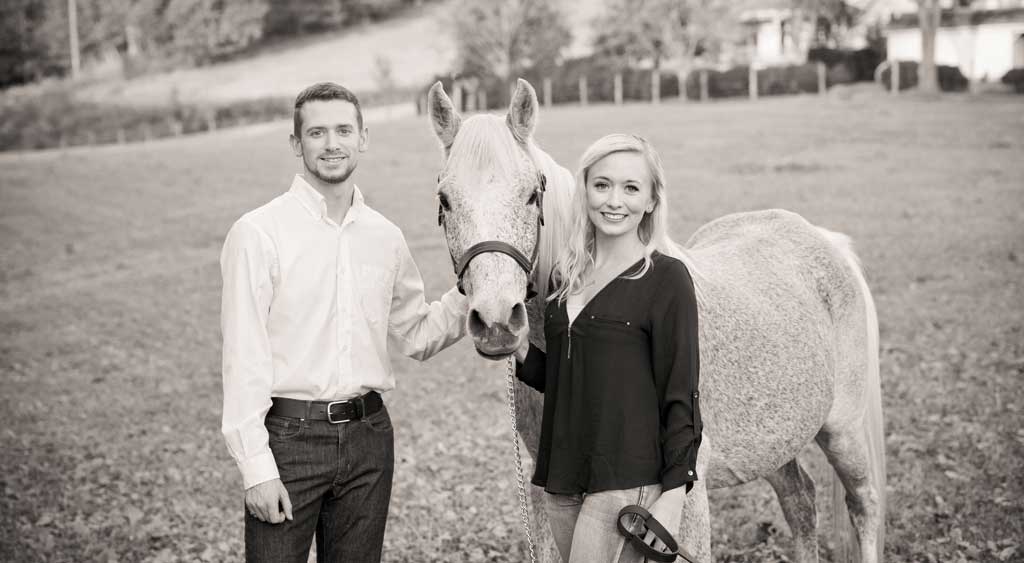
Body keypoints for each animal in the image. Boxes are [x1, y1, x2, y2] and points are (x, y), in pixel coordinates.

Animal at [425, 79, 888, 563]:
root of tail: (825, 240)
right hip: (775, 439)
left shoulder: (684, 498)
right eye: (445, 201)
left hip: (842, 431)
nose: (497, 320)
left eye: (532, 194)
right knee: (800, 500)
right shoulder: (544, 488)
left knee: (864, 504)